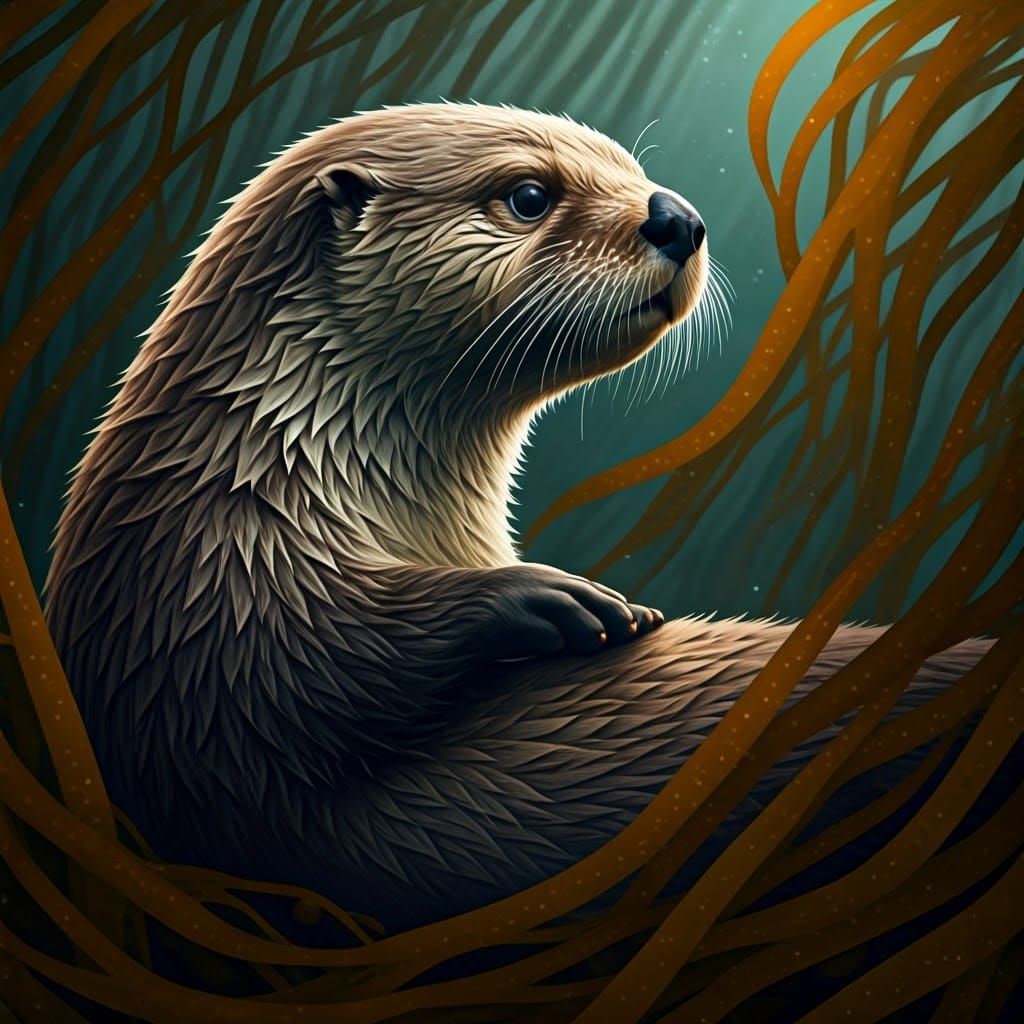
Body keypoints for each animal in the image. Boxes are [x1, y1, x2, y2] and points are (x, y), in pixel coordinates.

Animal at [47, 104, 986, 929]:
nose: (677, 216)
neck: (270, 454)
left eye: (634, 169)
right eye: (529, 194)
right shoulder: (203, 572)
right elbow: (278, 665)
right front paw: (558, 600)